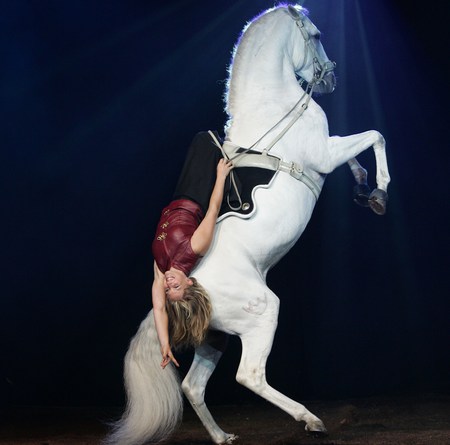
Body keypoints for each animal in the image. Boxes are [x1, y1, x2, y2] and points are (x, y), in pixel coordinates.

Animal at [104, 4, 390, 444]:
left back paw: (223, 436)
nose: (330, 78)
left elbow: (357, 150)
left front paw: (363, 187)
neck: (272, 104)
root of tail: (177, 283)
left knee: (192, 386)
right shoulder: (324, 154)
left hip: (216, 335)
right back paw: (310, 419)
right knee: (250, 376)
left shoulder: (328, 152)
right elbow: (374, 135)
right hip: (261, 313)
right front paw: (380, 193)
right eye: (318, 35)